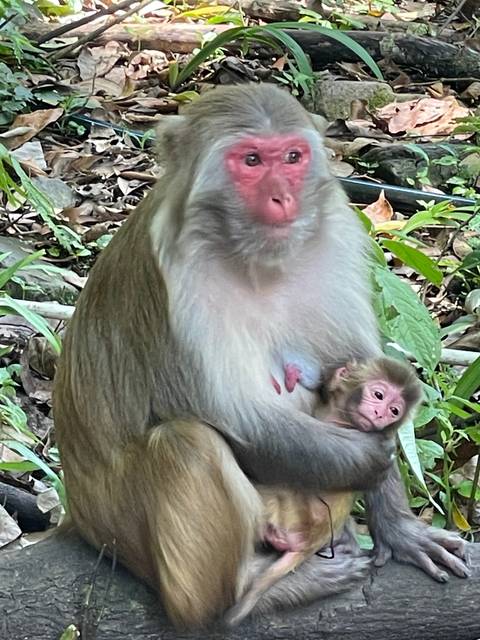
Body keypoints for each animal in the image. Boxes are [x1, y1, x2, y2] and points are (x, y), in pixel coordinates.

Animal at [226, 357, 423, 625]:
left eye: (395, 411)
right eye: (379, 395)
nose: (380, 414)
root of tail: (311, 539)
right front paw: (298, 375)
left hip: (294, 513)